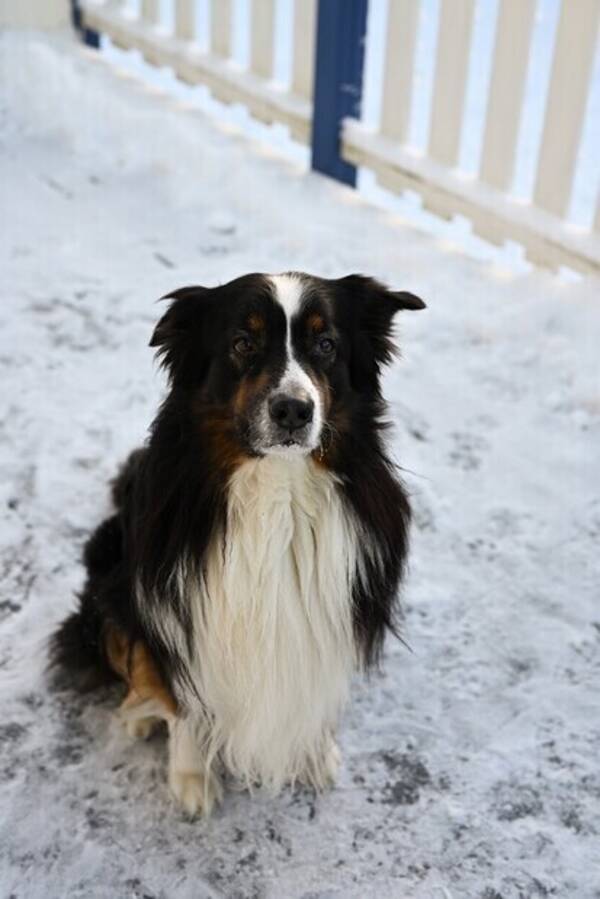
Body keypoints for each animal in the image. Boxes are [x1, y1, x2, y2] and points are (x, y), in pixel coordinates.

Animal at [51, 272, 426, 816]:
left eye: (326, 344)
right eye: (243, 343)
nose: (293, 410)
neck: (276, 488)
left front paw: (313, 754)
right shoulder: (177, 610)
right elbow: (183, 702)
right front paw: (190, 777)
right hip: (110, 578)